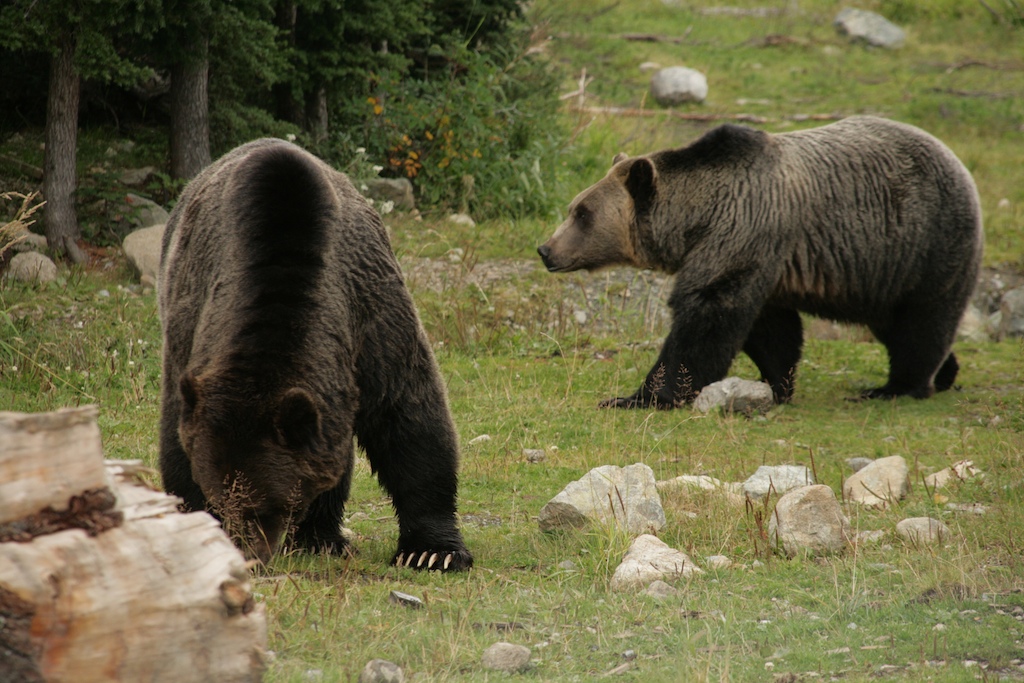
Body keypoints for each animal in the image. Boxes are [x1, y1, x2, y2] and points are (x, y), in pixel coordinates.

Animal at [158, 139, 471, 573]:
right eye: (221, 500)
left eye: (267, 505)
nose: (251, 557)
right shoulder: (190, 331)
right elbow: (177, 444)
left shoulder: (371, 319)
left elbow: (410, 419)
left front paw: (432, 551)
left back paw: (320, 537)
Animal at [536, 115, 983, 409]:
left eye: (583, 214)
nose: (545, 250)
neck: (697, 220)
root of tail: (961, 165)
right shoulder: (764, 260)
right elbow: (770, 331)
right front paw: (777, 384)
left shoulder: (745, 229)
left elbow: (706, 319)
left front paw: (641, 396)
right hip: (885, 274)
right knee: (897, 325)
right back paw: (946, 372)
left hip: (924, 245)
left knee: (922, 322)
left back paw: (897, 386)